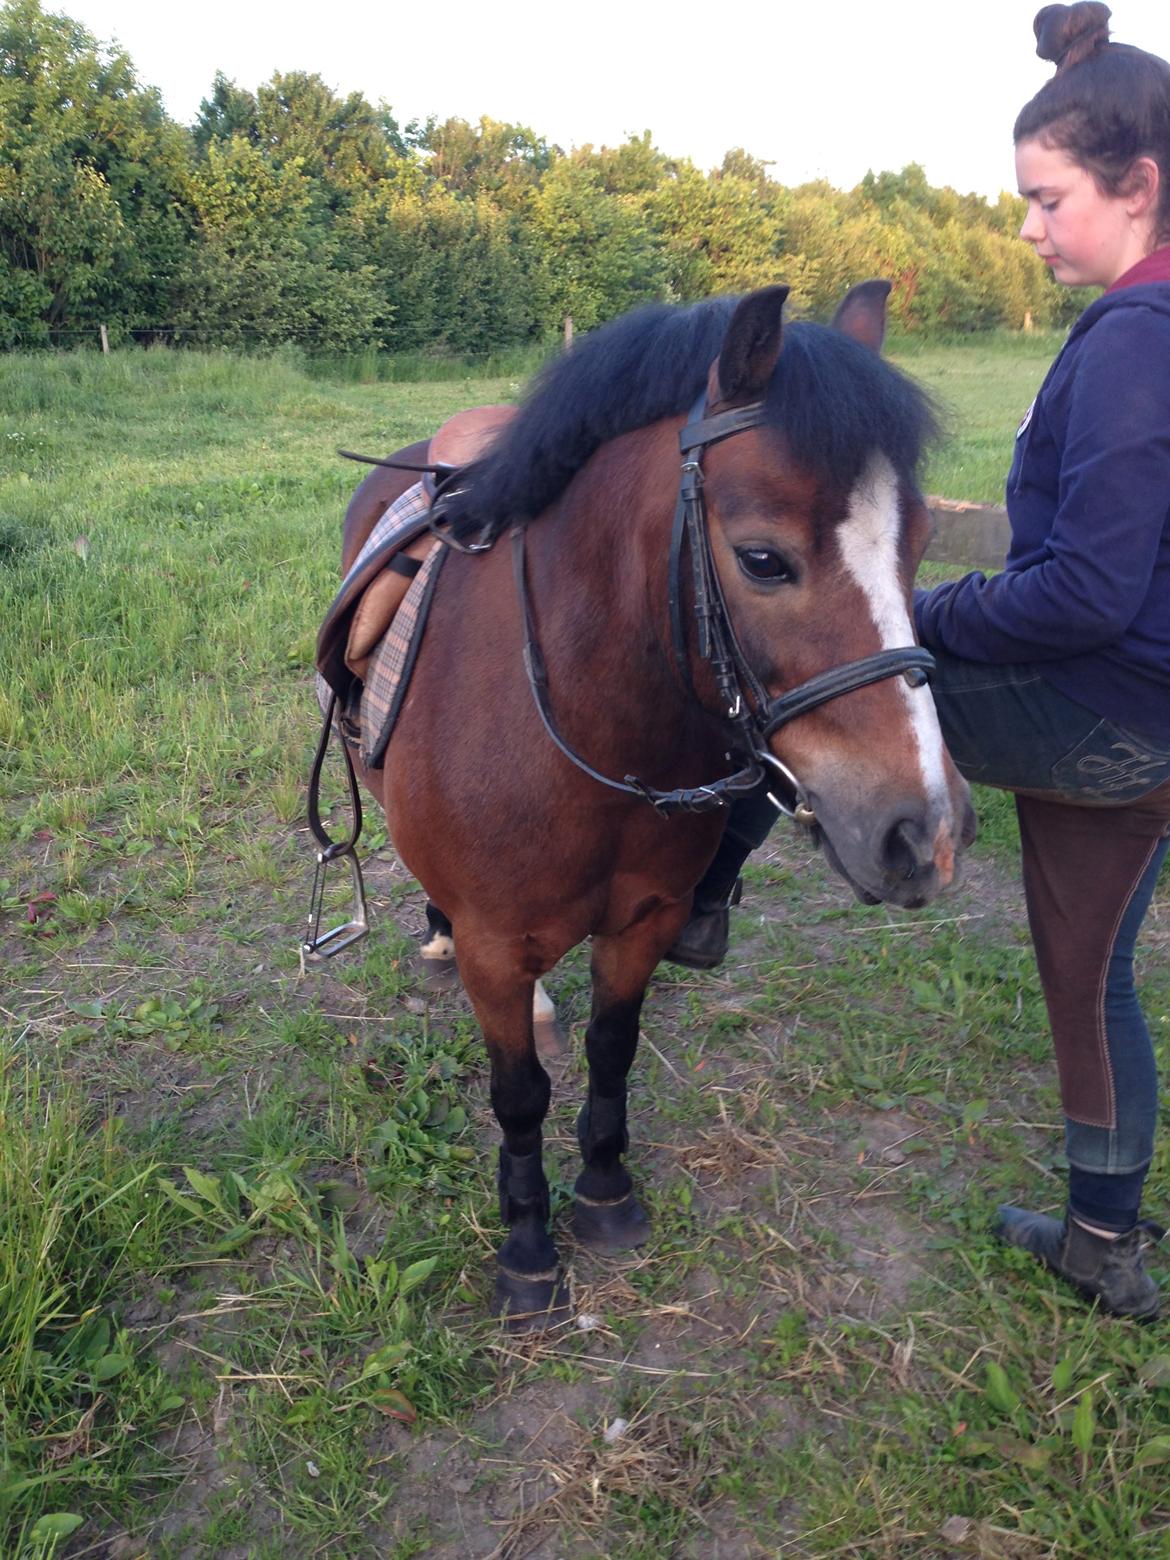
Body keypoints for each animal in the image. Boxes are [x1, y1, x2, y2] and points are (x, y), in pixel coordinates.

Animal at [333, 283, 973, 1329]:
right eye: (763, 560)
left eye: (918, 544)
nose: (927, 834)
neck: (590, 732)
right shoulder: (495, 948)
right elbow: (520, 1095)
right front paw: (527, 1250)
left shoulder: (643, 920)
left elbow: (611, 1049)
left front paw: (605, 1194)